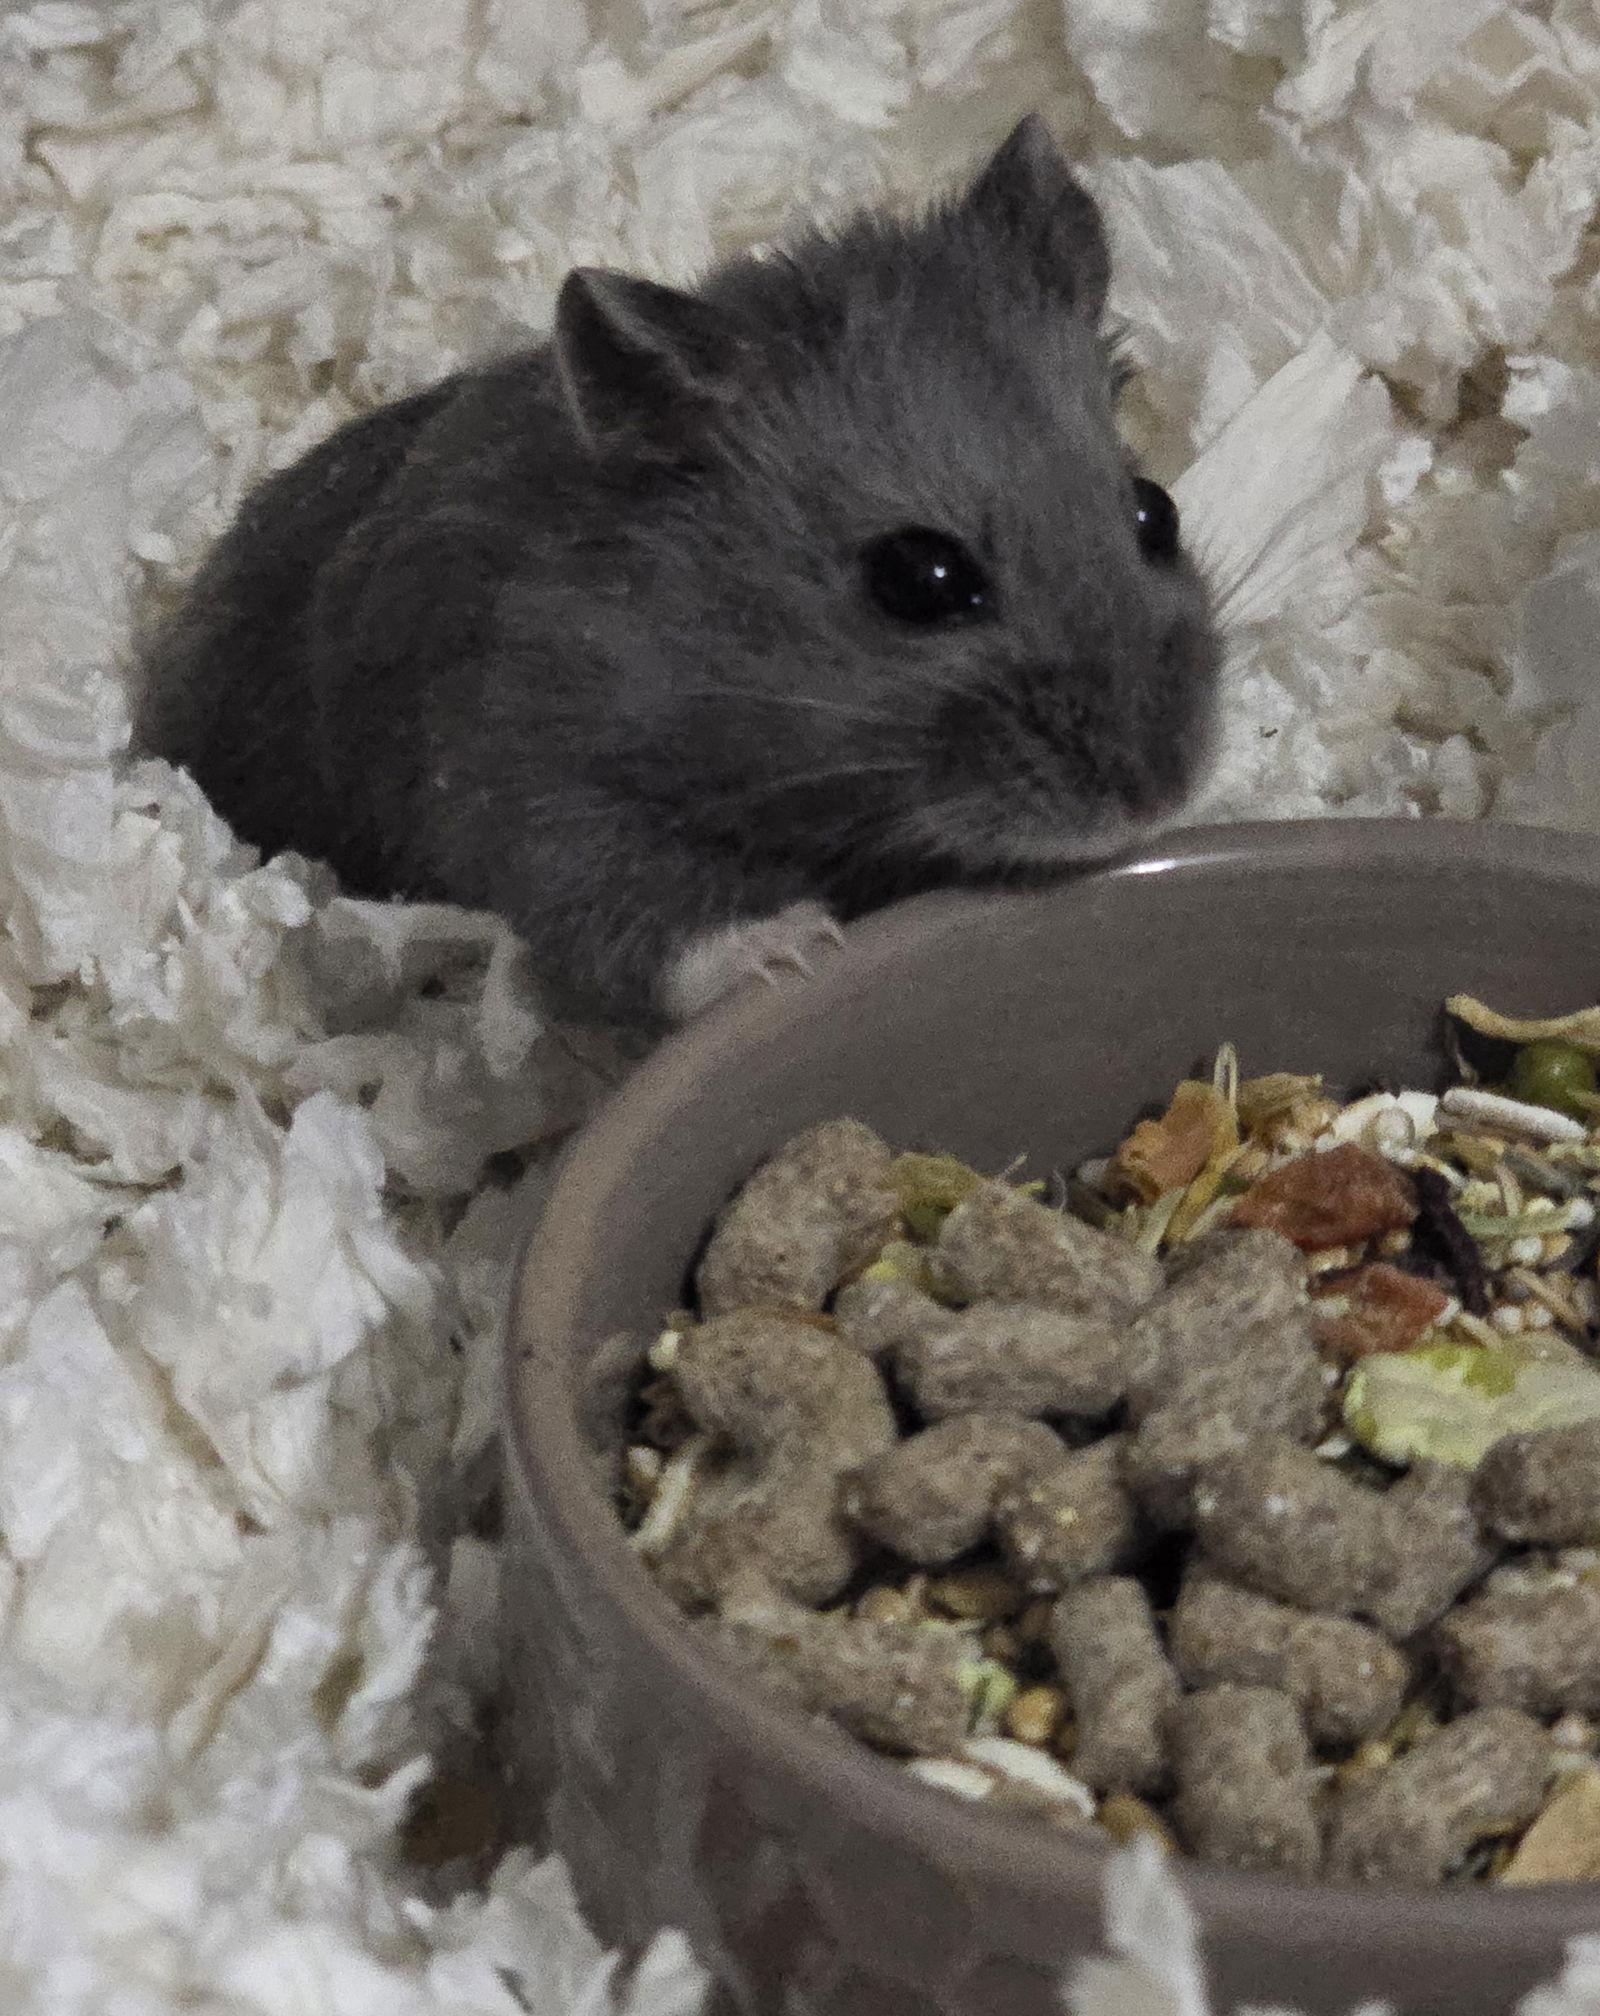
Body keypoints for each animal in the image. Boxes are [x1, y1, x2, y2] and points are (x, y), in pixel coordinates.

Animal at [137, 116, 1220, 1034]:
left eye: (1153, 512)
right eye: (924, 578)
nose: (1158, 797)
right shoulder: (533, 787)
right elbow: (644, 915)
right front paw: (794, 948)